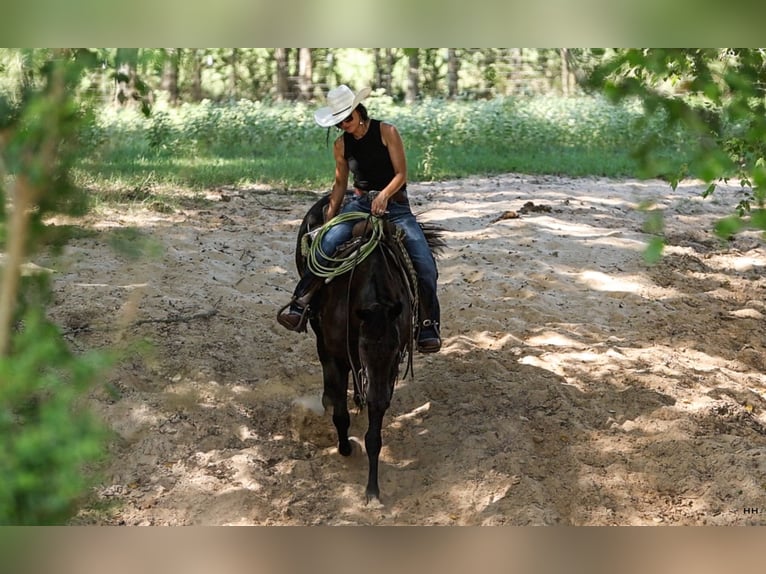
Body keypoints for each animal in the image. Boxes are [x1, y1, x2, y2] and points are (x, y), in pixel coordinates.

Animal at [296, 194, 448, 504]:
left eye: (394, 353)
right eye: (366, 349)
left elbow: (374, 430)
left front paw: (373, 489)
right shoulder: (338, 354)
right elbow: (340, 412)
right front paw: (345, 448)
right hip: (319, 331)